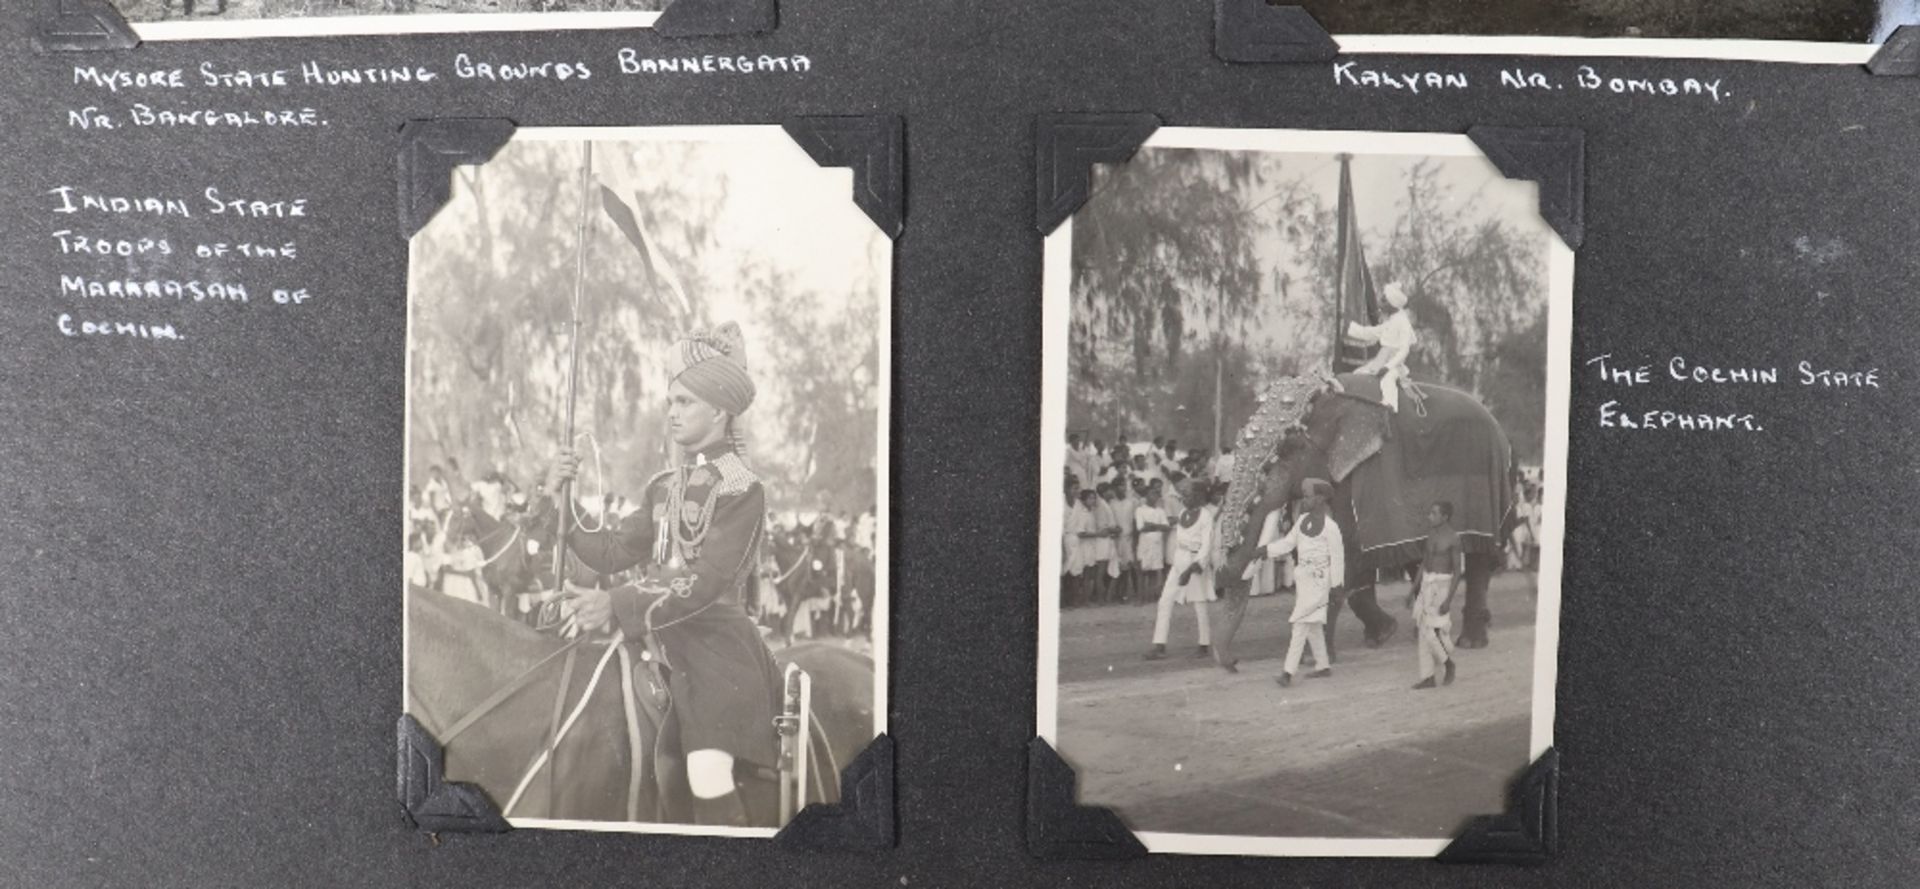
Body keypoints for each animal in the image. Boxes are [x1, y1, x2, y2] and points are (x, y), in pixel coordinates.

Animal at [1213, 372, 1512, 672]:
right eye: (1237, 444)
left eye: (1289, 447)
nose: (1234, 663)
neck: (1334, 394)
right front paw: (1383, 634)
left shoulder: (1359, 476)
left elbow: (1348, 549)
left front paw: (1314, 659)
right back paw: (1425, 632)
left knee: (1477, 562)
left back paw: (1470, 641)